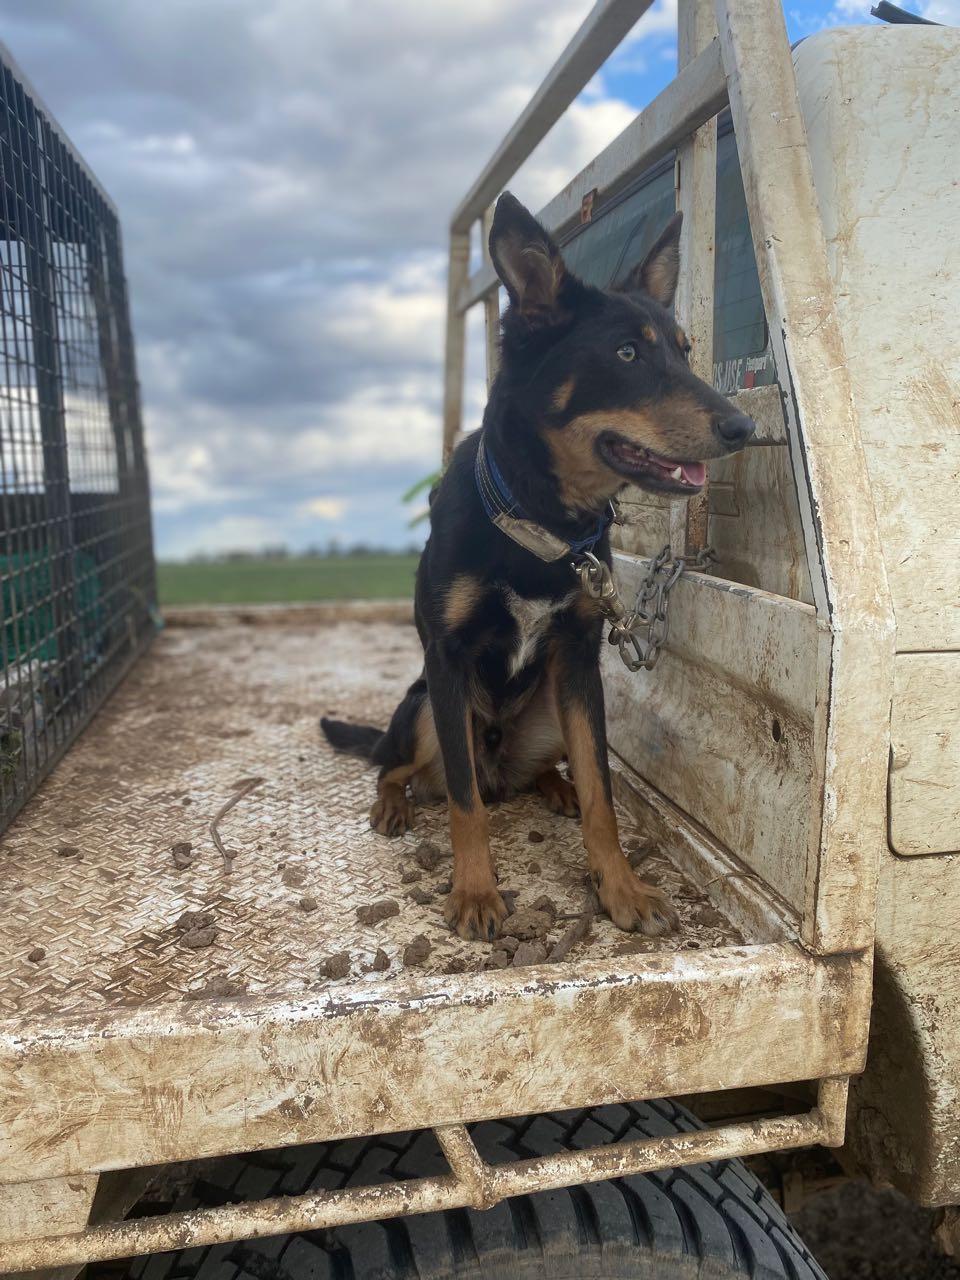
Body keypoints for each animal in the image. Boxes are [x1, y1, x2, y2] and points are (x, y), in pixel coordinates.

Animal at [322, 192, 755, 942]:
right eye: (627, 352)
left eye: (685, 350)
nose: (742, 428)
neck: (542, 522)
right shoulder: (447, 661)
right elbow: (464, 803)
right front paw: (474, 892)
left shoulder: (578, 660)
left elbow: (603, 792)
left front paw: (619, 887)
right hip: (425, 709)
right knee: (402, 768)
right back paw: (394, 805)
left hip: (552, 707)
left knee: (550, 770)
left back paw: (555, 787)